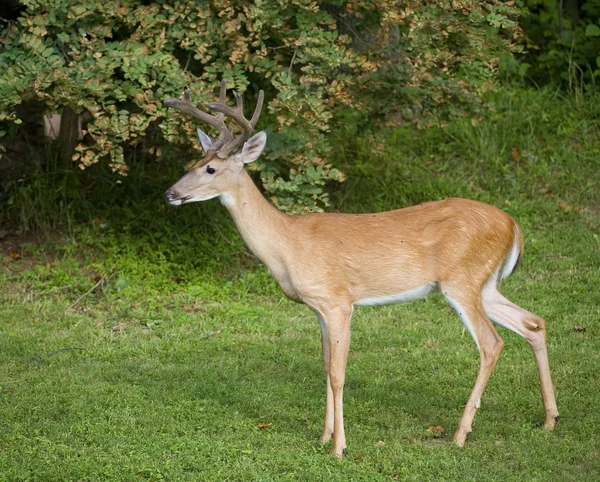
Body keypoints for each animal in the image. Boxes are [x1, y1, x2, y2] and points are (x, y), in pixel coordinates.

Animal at [163, 81, 556, 458]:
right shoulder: (318, 307)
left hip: (462, 280)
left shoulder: (338, 300)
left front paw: (340, 447)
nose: (170, 193)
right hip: (484, 284)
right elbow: (324, 366)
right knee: (534, 322)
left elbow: (338, 374)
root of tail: (513, 225)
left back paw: (462, 433)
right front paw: (324, 436)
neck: (288, 243)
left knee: (492, 343)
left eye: (210, 169)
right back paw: (550, 419)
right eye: (193, 161)